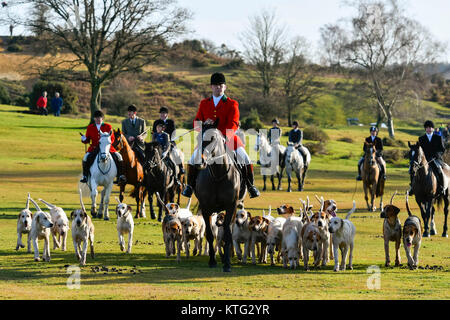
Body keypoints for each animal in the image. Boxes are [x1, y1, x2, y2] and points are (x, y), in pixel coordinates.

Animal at [196, 121, 244, 272]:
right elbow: (210, 235)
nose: (200, 162)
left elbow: (228, 235)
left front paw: (227, 263)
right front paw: (212, 261)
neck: (218, 175)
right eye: (198, 137)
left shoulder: (231, 207)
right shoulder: (206, 208)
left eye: (212, 138)